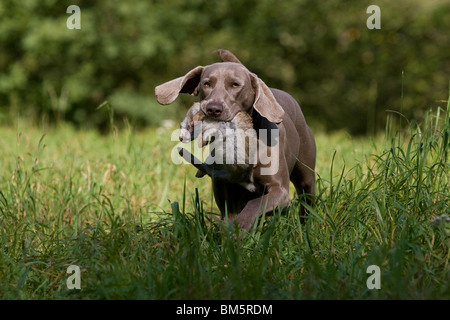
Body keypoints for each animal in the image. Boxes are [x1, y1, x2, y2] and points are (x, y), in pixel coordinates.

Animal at [156, 49, 316, 230]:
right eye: (206, 84)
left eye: (235, 85)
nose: (213, 109)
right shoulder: (226, 191)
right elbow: (231, 215)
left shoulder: (279, 191)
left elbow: (254, 206)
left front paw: (240, 227)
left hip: (306, 174)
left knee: (306, 198)